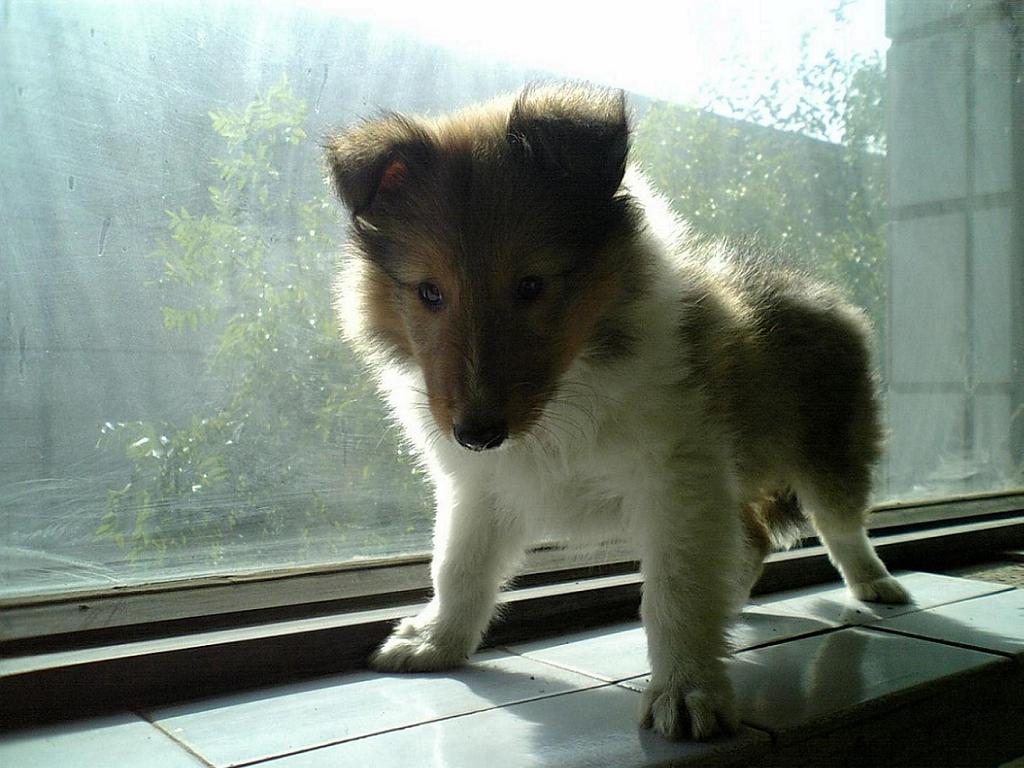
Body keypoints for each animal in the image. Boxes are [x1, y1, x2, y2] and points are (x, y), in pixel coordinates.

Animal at [323, 82, 909, 741]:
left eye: (530, 285)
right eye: (429, 292)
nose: (476, 434)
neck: (572, 388)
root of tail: (826, 297)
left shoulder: (678, 476)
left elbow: (676, 591)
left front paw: (686, 691)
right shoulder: (480, 488)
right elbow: (457, 568)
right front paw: (435, 642)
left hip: (831, 447)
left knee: (840, 525)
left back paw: (876, 584)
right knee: (752, 538)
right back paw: (733, 603)